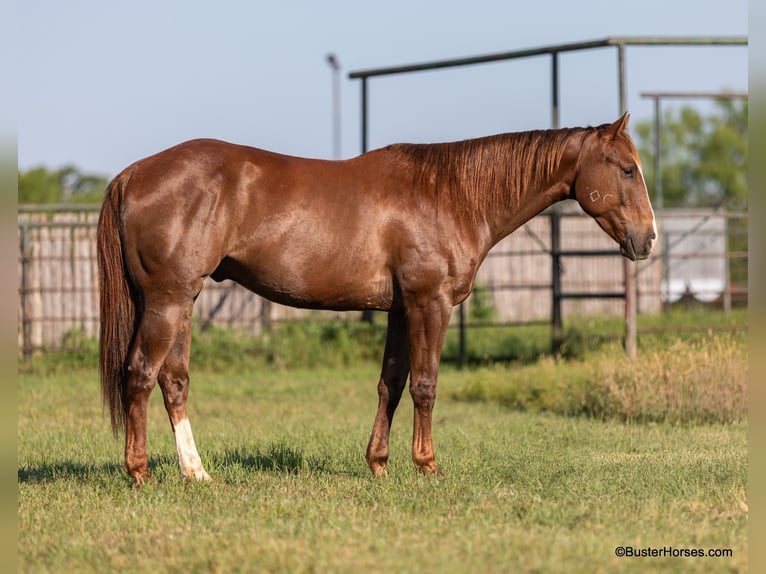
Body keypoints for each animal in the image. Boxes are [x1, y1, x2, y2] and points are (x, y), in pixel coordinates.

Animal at [97, 112, 656, 486]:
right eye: (627, 169)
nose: (648, 239)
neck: (451, 194)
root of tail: (135, 172)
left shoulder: (400, 310)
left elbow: (392, 384)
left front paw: (379, 464)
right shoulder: (430, 304)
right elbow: (426, 385)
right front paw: (427, 466)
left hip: (182, 301)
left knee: (173, 381)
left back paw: (196, 473)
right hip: (167, 301)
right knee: (141, 375)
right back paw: (140, 472)